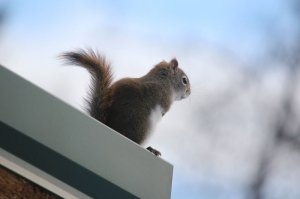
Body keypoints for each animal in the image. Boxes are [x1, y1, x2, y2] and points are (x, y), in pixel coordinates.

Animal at [59, 49, 191, 156]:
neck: (165, 81)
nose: (189, 93)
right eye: (184, 80)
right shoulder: (163, 96)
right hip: (143, 124)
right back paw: (150, 148)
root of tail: (111, 127)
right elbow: (164, 108)